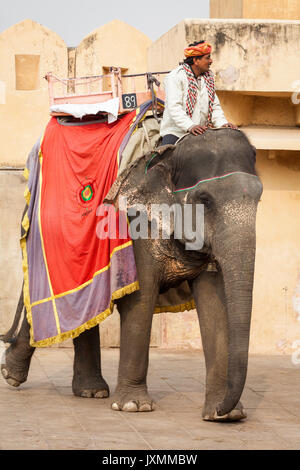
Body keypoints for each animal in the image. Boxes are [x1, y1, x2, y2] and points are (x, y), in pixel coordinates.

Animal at [0, 127, 262, 422]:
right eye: (205, 200)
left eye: (259, 197)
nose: (222, 408)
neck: (168, 158)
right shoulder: (137, 225)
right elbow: (141, 299)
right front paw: (133, 407)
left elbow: (214, 305)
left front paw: (225, 416)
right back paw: (14, 375)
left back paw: (87, 391)